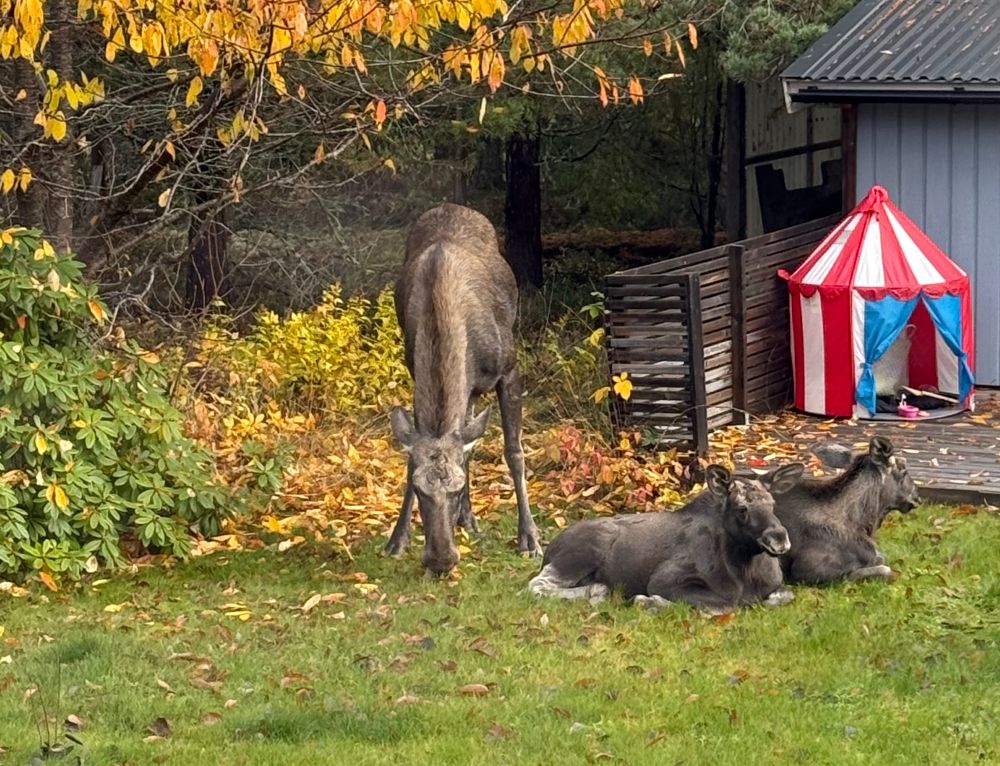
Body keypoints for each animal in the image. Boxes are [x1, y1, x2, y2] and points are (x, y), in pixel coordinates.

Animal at [386, 203, 542, 576]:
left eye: (455, 490)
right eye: (419, 490)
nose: (441, 560)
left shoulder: (509, 369)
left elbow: (514, 452)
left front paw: (529, 537)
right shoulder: (417, 375)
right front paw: (398, 539)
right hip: (467, 391)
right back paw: (467, 519)